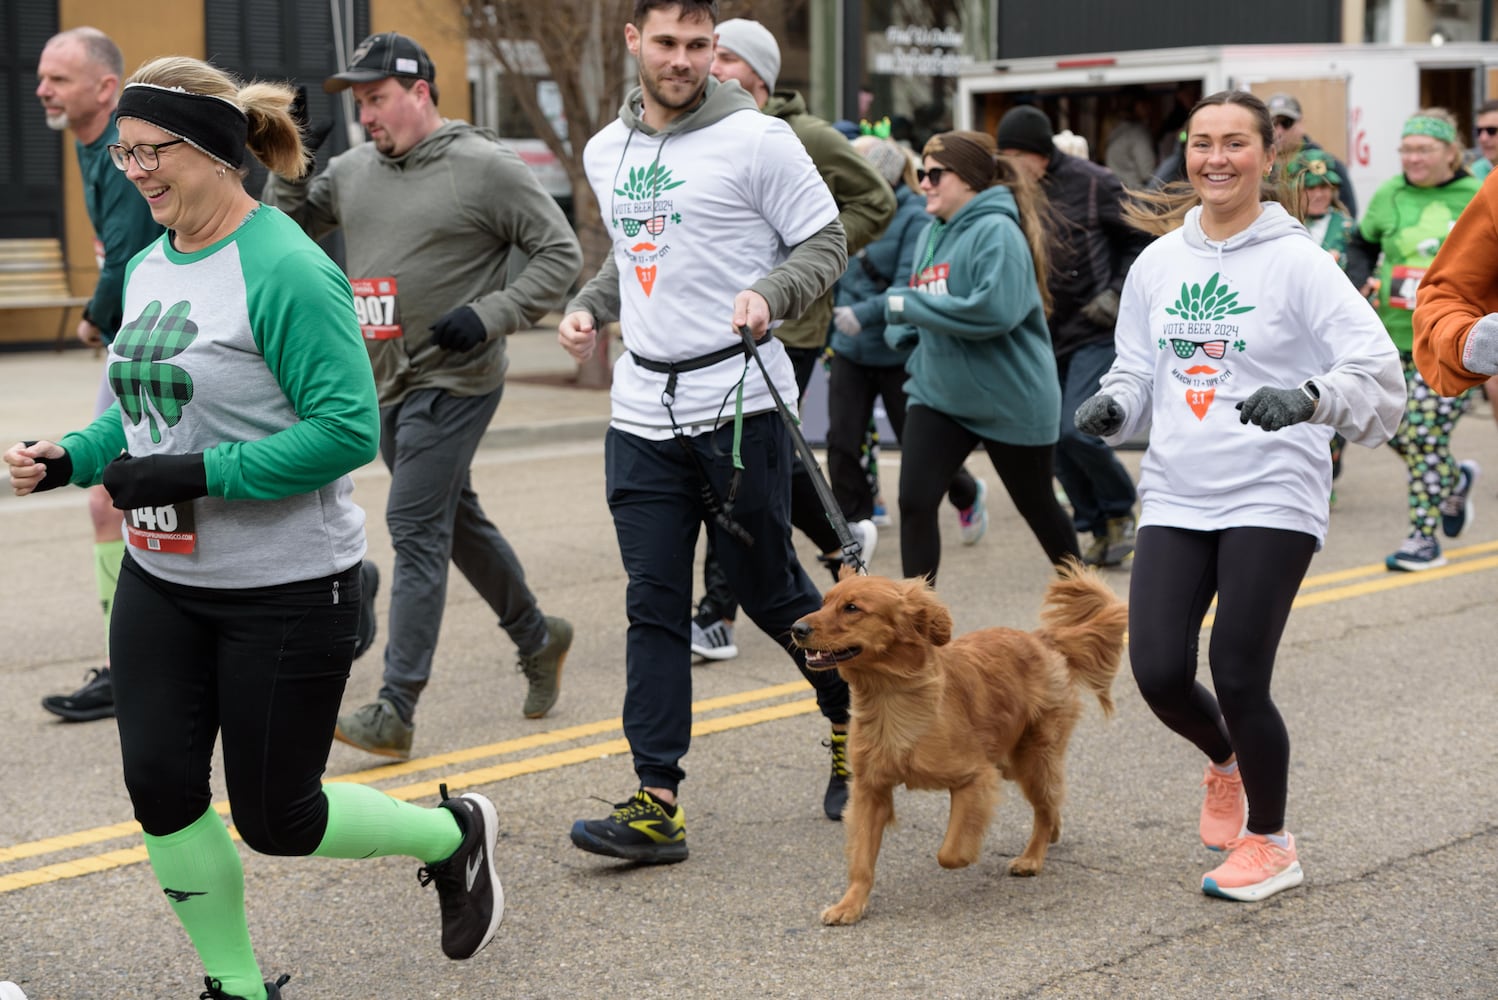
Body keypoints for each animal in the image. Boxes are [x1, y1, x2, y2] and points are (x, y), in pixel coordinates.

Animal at [796, 559, 1126, 928]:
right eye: (824, 601)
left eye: (852, 608)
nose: (796, 628)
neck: (889, 697)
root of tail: (1042, 639)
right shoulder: (870, 790)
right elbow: (861, 858)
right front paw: (850, 904)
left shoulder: (976, 776)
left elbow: (950, 852)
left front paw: (968, 853)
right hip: (1013, 762)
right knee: (1051, 803)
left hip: (1032, 759)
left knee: (1044, 807)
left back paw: (1031, 857)